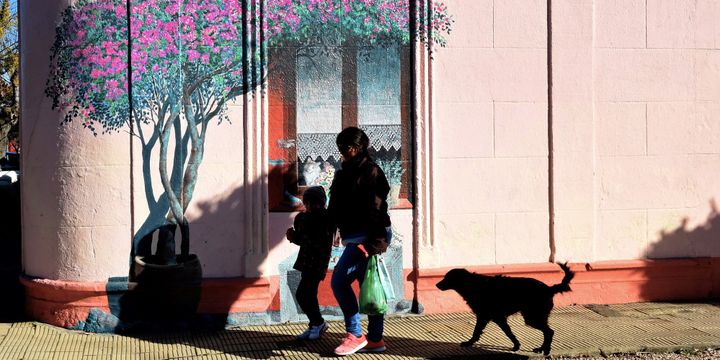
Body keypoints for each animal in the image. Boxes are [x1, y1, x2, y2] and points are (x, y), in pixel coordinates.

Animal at [436, 262, 576, 356]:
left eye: (447, 277)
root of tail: (549, 288)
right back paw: (542, 349)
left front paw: (469, 343)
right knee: (548, 332)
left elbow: (477, 332)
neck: (472, 285)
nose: (436, 284)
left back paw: (545, 350)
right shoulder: (496, 318)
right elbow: (507, 332)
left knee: (549, 332)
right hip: (534, 316)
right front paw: (516, 345)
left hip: (532, 317)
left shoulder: (486, 316)